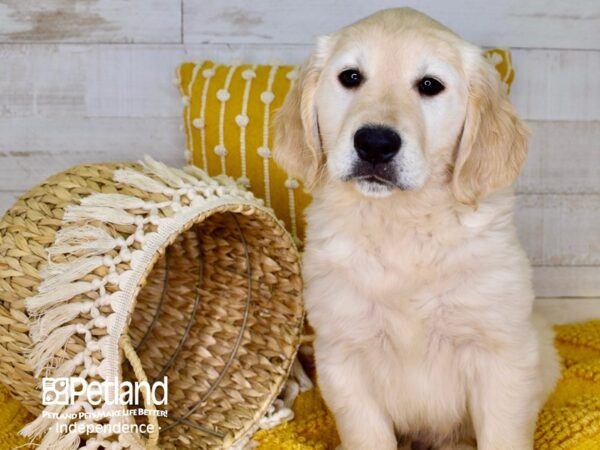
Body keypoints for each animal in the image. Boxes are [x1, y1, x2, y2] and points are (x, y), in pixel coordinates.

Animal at [276, 7, 564, 450]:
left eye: (430, 85)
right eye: (351, 77)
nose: (375, 143)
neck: (401, 223)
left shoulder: (501, 354)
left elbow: (502, 433)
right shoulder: (344, 354)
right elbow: (368, 435)